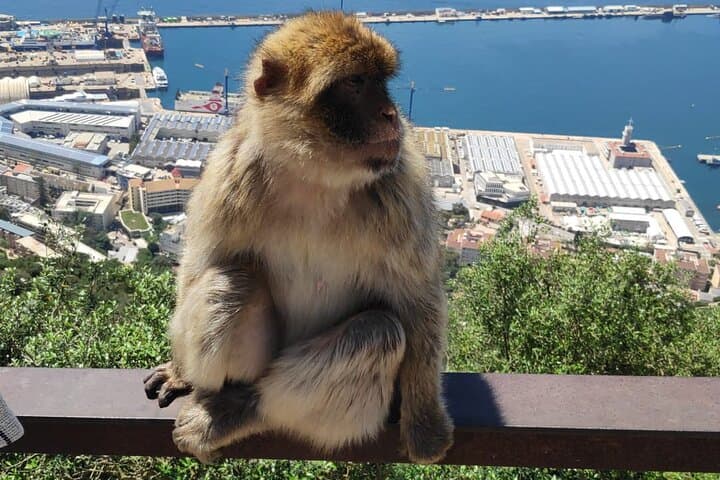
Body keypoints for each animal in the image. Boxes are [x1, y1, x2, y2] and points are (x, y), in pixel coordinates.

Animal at [143, 11, 453, 465]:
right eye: (355, 82)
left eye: (382, 81)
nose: (391, 114)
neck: (314, 176)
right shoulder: (230, 173)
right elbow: (201, 262)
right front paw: (180, 373)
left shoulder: (400, 188)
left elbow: (418, 301)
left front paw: (425, 425)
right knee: (230, 283)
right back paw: (224, 397)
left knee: (377, 332)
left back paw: (245, 411)